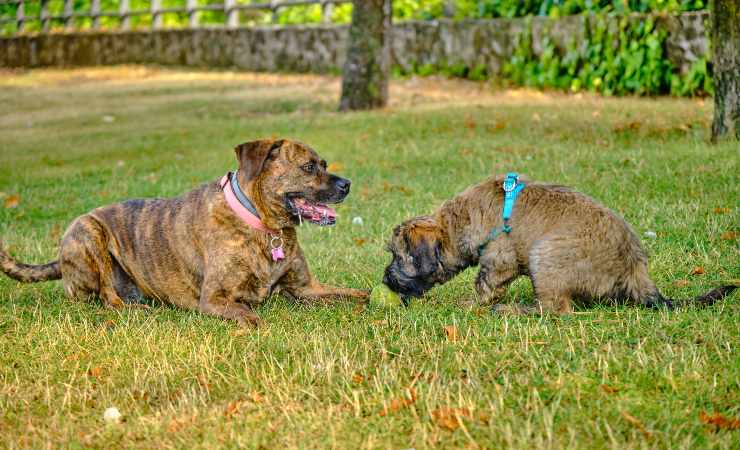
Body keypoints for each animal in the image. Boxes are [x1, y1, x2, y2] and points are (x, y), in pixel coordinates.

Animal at [0, 139, 370, 326]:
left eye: (325, 164)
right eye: (308, 167)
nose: (348, 184)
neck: (262, 225)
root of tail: (59, 260)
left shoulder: (307, 288)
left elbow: (361, 296)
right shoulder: (215, 299)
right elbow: (250, 316)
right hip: (88, 231)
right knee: (108, 299)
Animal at [384, 174, 736, 314]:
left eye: (398, 257)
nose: (385, 279)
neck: (457, 223)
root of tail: (635, 268)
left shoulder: (499, 259)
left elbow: (485, 286)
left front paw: (469, 304)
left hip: (546, 254)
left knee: (557, 309)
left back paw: (512, 310)